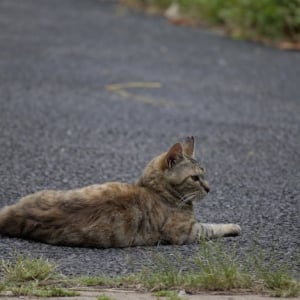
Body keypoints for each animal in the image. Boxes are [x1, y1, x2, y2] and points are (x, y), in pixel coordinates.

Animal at [0, 137, 240, 247]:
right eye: (195, 178)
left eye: (204, 175)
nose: (209, 188)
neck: (156, 190)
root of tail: (15, 212)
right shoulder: (184, 233)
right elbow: (211, 227)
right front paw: (233, 226)